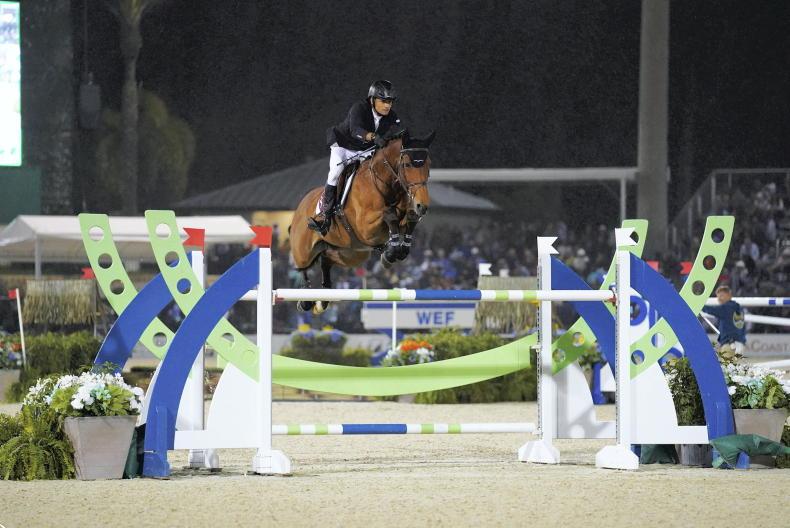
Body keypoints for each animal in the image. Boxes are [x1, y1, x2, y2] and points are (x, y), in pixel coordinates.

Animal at [289, 131, 435, 313]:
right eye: (407, 164)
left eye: (428, 164)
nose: (422, 206)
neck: (382, 181)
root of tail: (300, 205)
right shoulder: (366, 227)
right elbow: (389, 214)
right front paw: (391, 252)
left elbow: (408, 221)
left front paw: (392, 253)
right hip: (303, 249)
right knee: (303, 267)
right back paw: (306, 300)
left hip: (351, 253)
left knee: (326, 259)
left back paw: (323, 299)